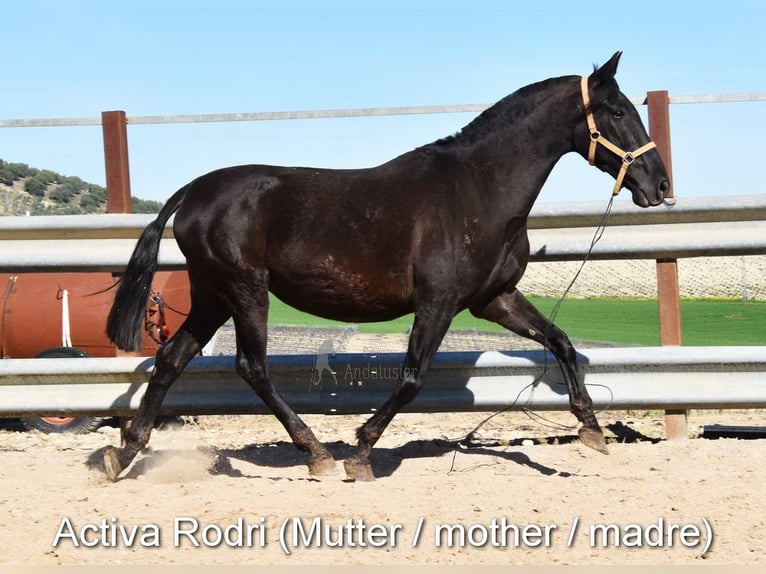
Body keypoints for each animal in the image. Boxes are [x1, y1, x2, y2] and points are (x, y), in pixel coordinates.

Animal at [103, 52, 669, 482]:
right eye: (617, 111)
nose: (659, 184)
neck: (479, 191)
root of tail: (195, 191)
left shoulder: (495, 299)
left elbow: (562, 342)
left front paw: (592, 430)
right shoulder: (438, 302)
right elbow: (414, 377)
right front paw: (360, 452)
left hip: (212, 296)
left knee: (172, 359)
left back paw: (124, 453)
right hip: (245, 291)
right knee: (252, 367)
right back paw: (317, 455)